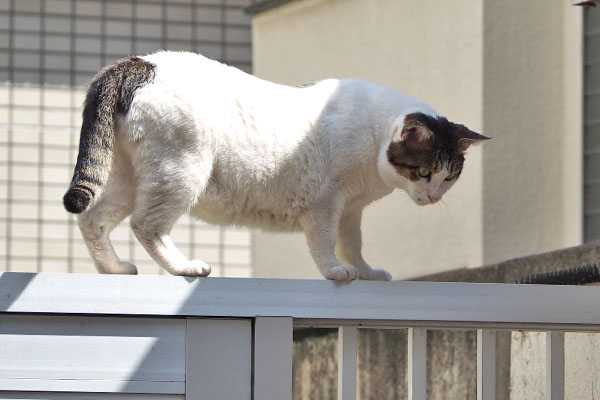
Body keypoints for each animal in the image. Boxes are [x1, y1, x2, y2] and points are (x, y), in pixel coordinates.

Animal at [63, 50, 490, 282]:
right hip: (181, 172)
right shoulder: (325, 204)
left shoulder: (351, 210)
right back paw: (185, 267)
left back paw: (114, 269)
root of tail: (136, 63)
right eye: (423, 172)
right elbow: (325, 244)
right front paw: (335, 271)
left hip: (125, 178)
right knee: (146, 224)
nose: (434, 197)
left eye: (449, 177)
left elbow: (353, 245)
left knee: (92, 219)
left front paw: (365, 271)